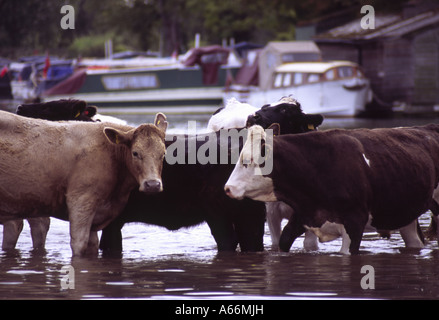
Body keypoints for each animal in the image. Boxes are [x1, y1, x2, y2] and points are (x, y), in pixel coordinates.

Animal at [225, 124, 439, 254]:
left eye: (247, 161)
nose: (228, 188)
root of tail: (428, 128)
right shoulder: (306, 214)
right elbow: (284, 240)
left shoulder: (355, 221)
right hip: (407, 216)